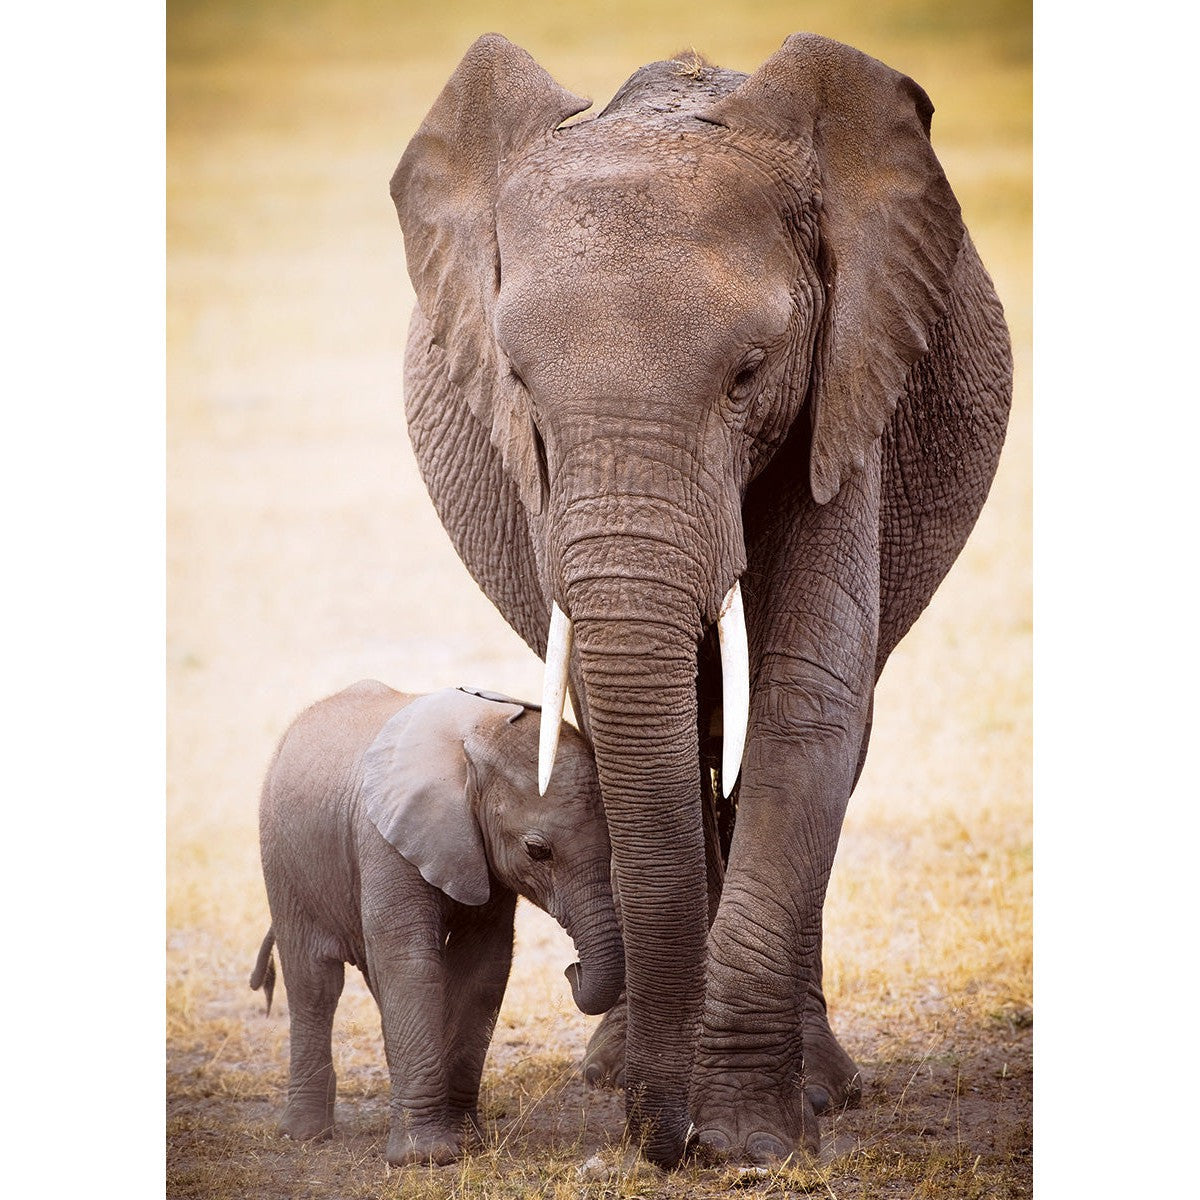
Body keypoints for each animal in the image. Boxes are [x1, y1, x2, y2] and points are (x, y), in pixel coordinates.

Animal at [251, 681, 624, 1166]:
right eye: (537, 851)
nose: (572, 970)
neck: (476, 741)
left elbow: (483, 967)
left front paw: (467, 1142)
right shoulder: (384, 838)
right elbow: (411, 962)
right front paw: (425, 1158)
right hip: (282, 858)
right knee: (314, 982)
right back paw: (306, 1135)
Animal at [389, 32, 1011, 1167]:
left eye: (749, 374)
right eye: (517, 382)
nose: (660, 1140)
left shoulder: (848, 381)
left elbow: (807, 696)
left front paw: (750, 1141)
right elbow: (639, 710)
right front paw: (688, 1113)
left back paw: (821, 1088)